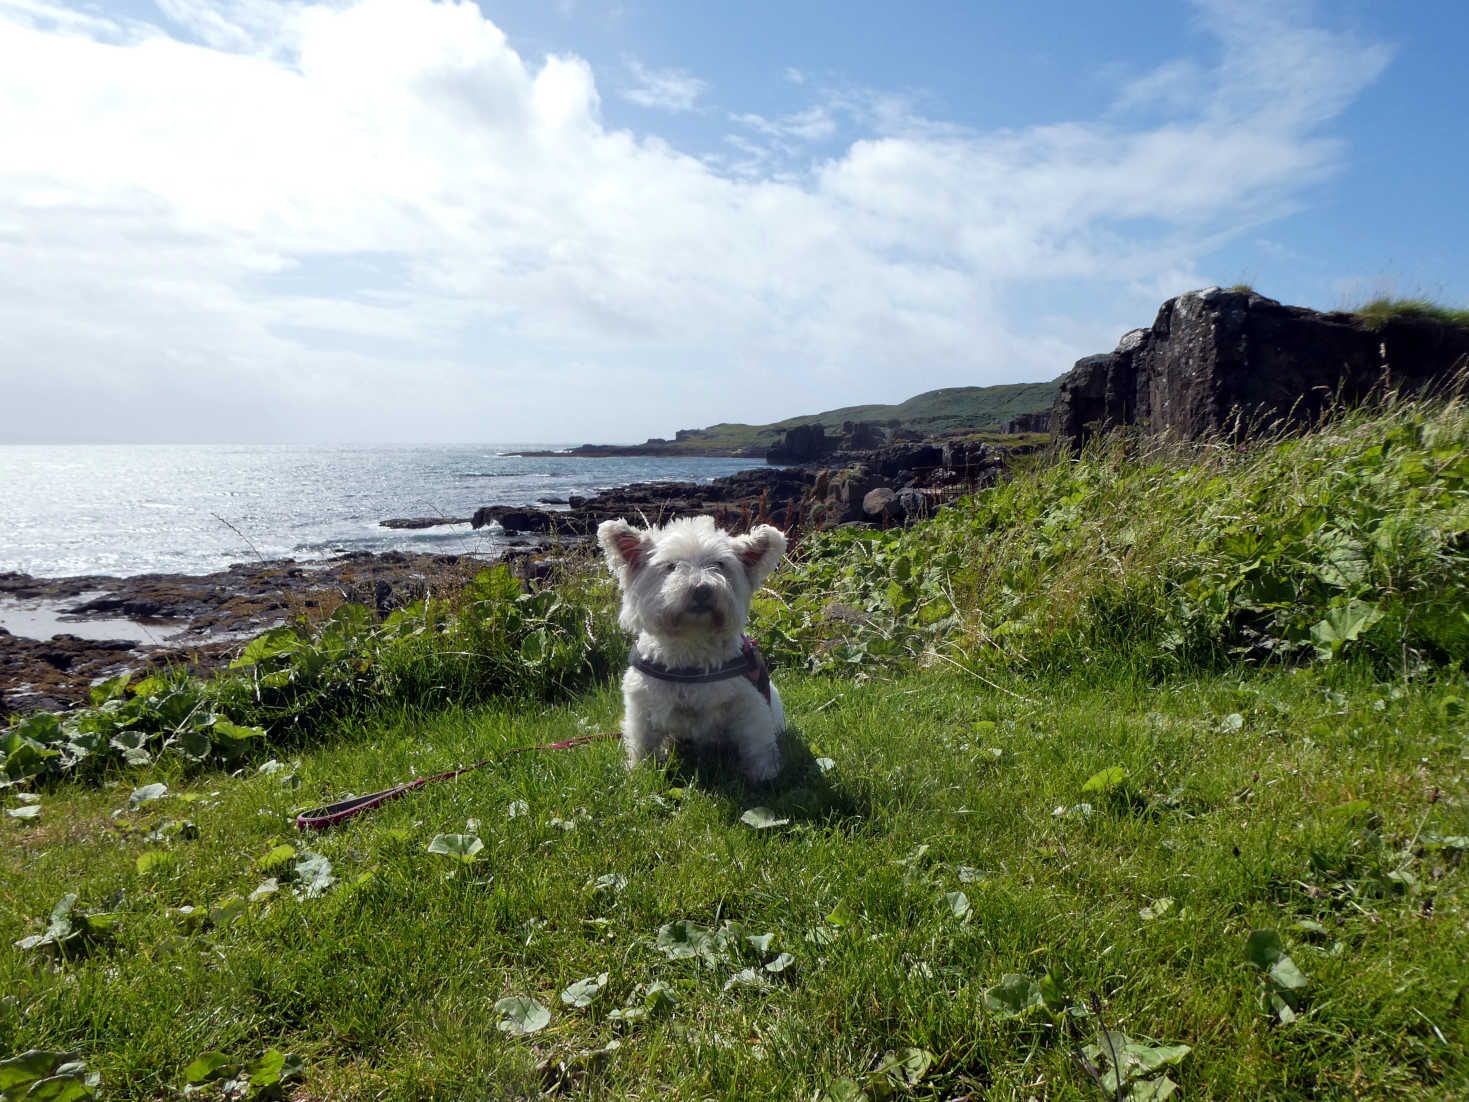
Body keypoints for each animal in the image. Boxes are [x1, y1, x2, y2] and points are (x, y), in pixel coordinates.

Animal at [596, 517, 787, 787]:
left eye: (720, 564)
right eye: (671, 566)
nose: (701, 589)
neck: (690, 647)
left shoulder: (749, 703)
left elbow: (757, 742)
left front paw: (763, 774)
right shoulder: (642, 705)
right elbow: (642, 743)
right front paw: (639, 772)